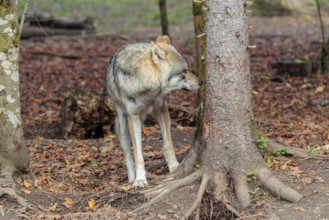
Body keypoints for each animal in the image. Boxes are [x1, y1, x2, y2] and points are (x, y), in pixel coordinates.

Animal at [106, 35, 201, 187]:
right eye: (184, 71)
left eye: (187, 69)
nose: (201, 82)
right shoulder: (133, 117)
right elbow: (138, 154)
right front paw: (139, 179)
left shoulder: (162, 108)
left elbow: (168, 145)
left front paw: (175, 167)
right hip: (123, 122)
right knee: (127, 151)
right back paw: (131, 178)